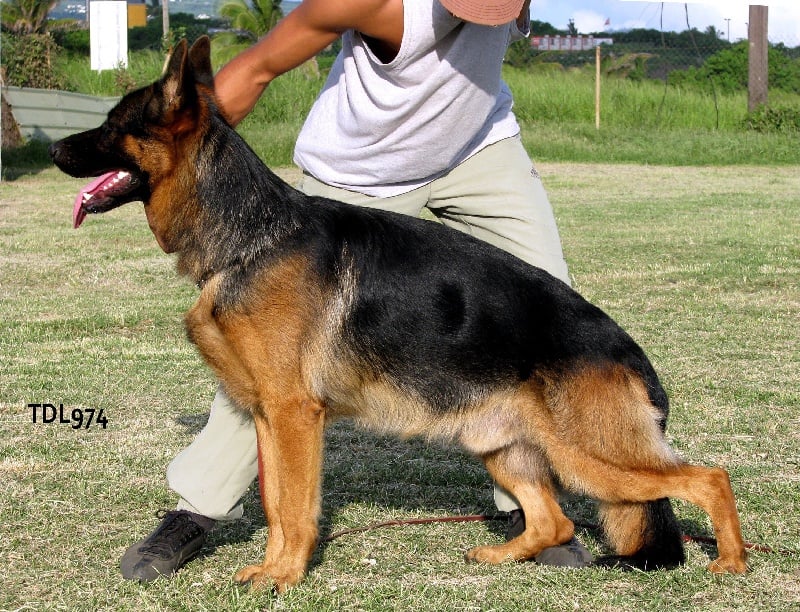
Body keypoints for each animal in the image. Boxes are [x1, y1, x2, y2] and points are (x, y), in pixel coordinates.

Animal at [51, 39, 752, 592]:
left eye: (112, 124)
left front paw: (284, 576)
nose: (54, 147)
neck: (249, 234)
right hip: (500, 444)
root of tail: (631, 354)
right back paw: (500, 555)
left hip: (590, 456)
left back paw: (732, 563)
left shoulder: (293, 415)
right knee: (555, 519)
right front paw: (274, 568)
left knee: (708, 478)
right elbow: (275, 504)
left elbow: (295, 507)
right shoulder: (266, 416)